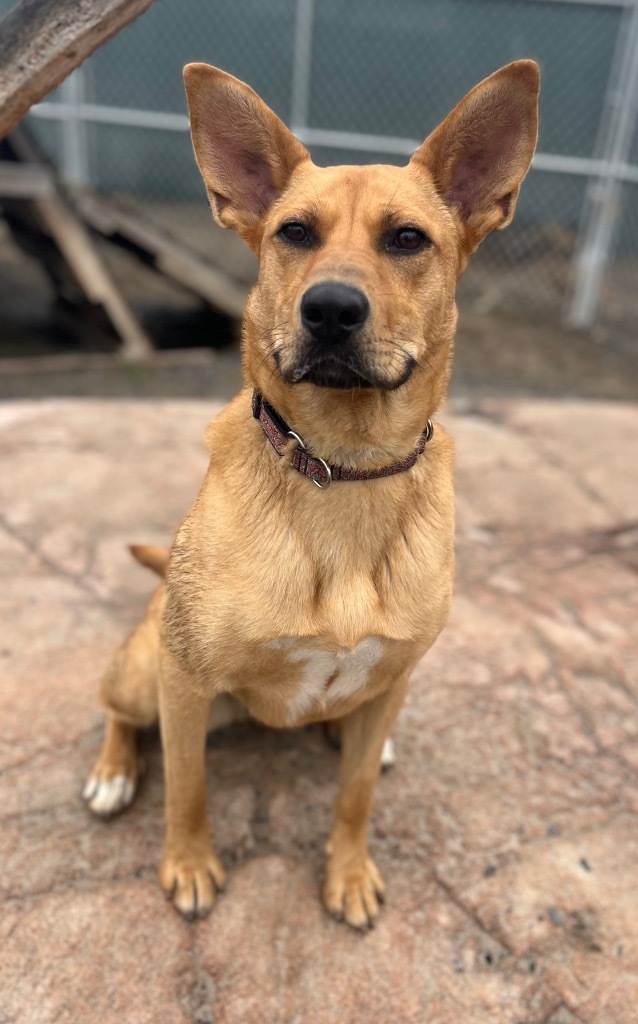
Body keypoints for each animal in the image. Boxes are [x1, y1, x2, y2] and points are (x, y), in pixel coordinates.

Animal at [83, 59, 540, 933]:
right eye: (294, 232)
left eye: (408, 239)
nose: (330, 308)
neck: (343, 468)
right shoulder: (184, 683)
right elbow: (188, 787)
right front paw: (189, 865)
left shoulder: (394, 677)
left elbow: (354, 797)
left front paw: (349, 874)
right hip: (144, 666)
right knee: (121, 713)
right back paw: (114, 772)